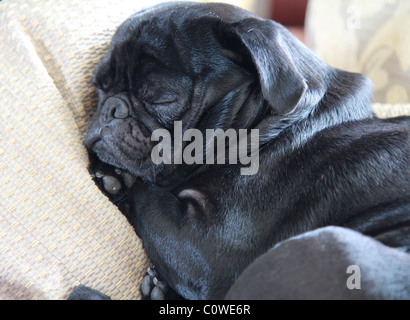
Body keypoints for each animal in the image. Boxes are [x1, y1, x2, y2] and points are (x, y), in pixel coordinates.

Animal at [82, 1, 406, 300]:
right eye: (99, 86)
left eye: (163, 98)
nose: (111, 108)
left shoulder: (203, 245)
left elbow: (146, 193)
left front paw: (116, 178)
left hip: (329, 245)